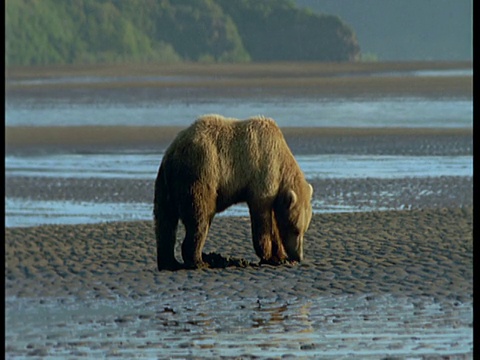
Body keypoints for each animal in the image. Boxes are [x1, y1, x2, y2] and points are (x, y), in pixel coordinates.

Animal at [152, 114, 314, 268]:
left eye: (304, 229)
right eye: (295, 229)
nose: (298, 256)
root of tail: (173, 152)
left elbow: (273, 221)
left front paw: (280, 256)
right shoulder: (263, 173)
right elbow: (262, 217)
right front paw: (269, 256)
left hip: (165, 183)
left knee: (165, 221)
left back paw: (169, 262)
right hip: (200, 172)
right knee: (199, 217)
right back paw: (198, 261)